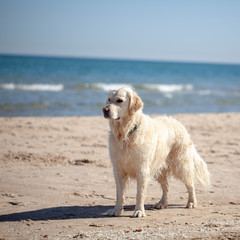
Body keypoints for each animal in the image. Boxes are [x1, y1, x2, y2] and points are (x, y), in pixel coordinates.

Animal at [101, 86, 210, 218]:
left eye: (120, 100)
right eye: (109, 99)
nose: (105, 109)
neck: (126, 133)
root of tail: (178, 123)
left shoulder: (142, 169)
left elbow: (140, 193)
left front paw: (139, 211)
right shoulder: (118, 170)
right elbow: (119, 193)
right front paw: (116, 210)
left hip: (181, 166)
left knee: (190, 184)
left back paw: (191, 202)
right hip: (159, 169)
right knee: (166, 187)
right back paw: (162, 203)